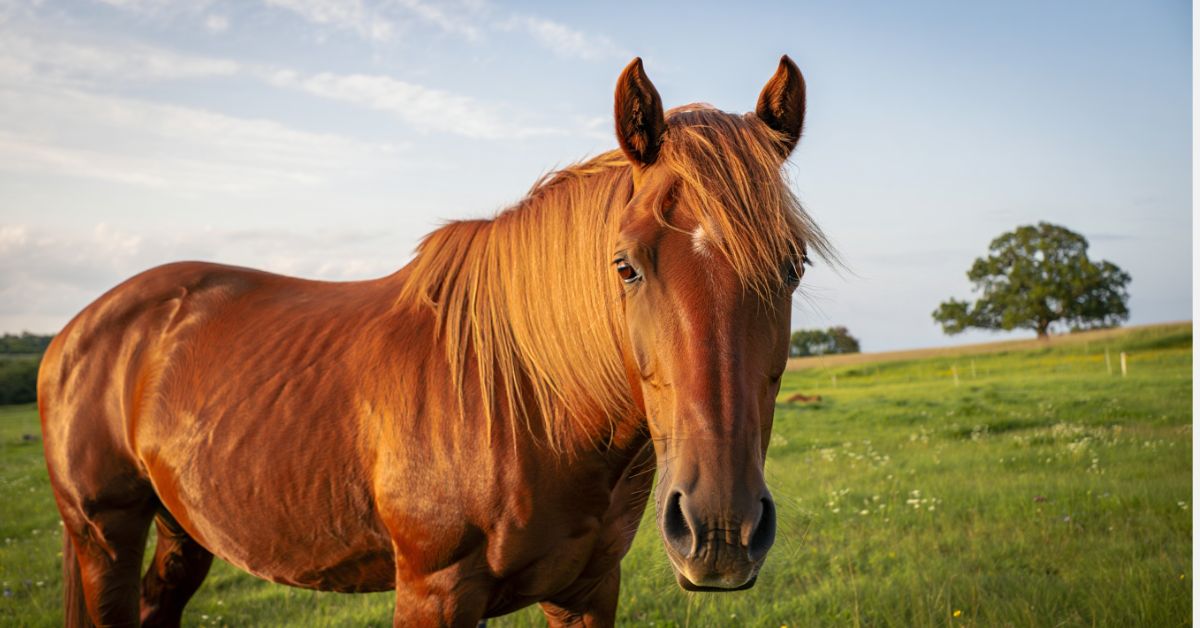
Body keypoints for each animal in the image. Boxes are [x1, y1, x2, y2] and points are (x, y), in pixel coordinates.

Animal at [38, 55, 828, 627]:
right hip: (103, 535)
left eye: (793, 267)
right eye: (626, 265)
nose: (720, 530)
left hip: (181, 531)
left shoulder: (587, 590)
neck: (523, 402)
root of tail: (74, 335)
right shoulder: (434, 592)